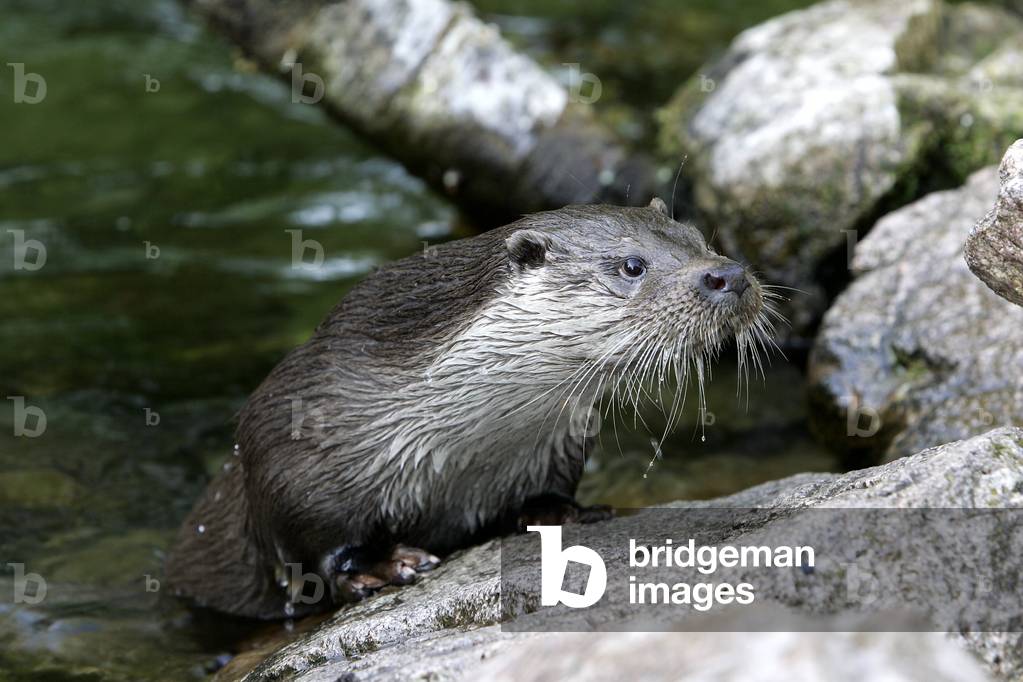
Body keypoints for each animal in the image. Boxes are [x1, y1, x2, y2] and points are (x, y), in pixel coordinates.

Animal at [166, 198, 771, 619]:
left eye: (699, 239)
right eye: (631, 265)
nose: (729, 275)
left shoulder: (554, 446)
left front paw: (558, 513)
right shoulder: (289, 439)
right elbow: (309, 549)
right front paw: (384, 565)